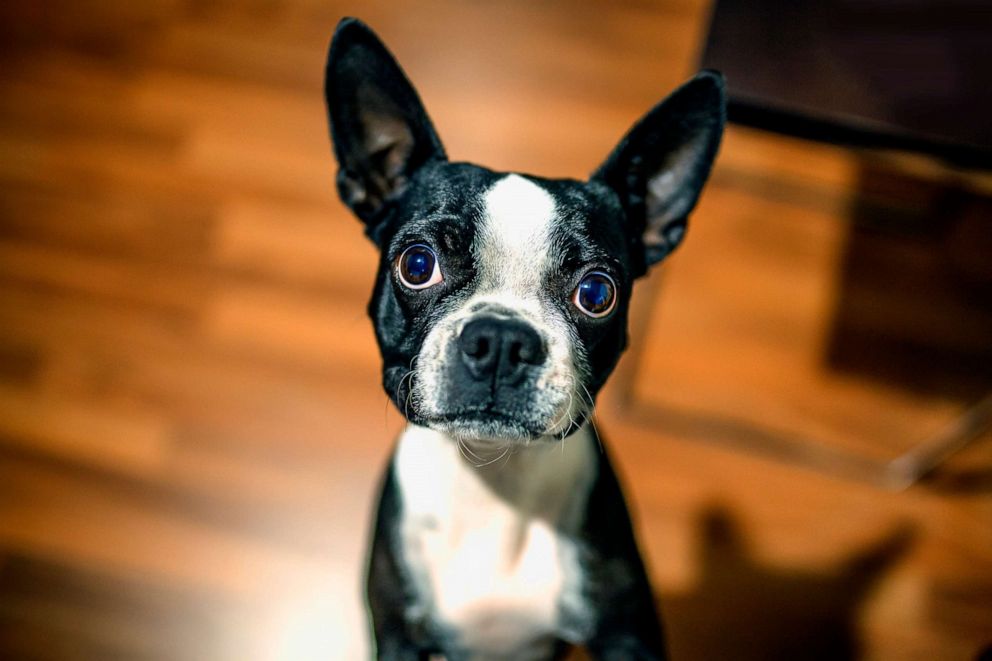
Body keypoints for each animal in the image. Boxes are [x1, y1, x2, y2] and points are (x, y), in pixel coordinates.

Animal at [324, 16, 720, 660]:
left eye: (597, 293)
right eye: (416, 264)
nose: (502, 340)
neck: (494, 481)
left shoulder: (628, 634)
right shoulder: (399, 634)